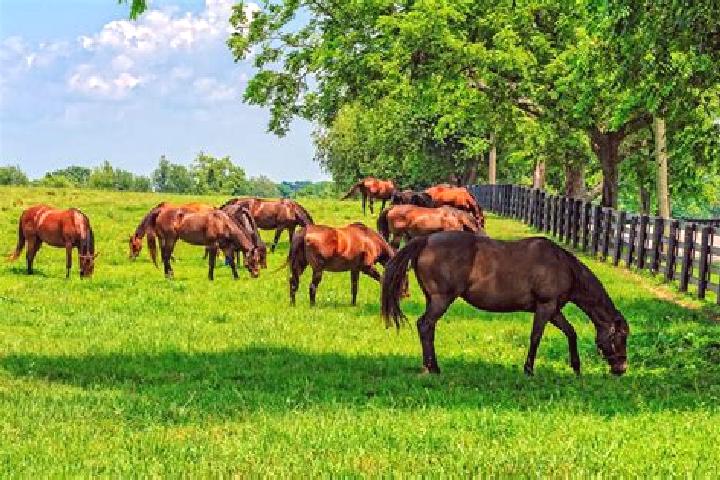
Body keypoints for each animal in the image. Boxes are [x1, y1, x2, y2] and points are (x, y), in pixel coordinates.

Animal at [382, 231, 629, 377]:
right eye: (620, 337)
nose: (621, 368)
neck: (563, 266)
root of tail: (426, 240)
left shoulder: (554, 310)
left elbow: (571, 332)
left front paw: (576, 367)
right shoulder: (545, 307)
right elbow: (536, 337)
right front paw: (529, 370)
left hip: (433, 299)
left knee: (427, 327)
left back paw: (429, 365)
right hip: (442, 299)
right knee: (425, 325)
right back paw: (433, 368)